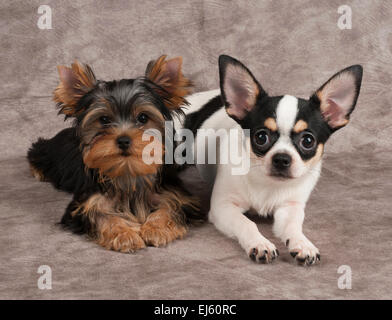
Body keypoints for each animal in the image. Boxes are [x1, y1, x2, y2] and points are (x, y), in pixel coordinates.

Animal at [27, 56, 199, 254]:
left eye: (143, 117)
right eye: (104, 119)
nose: (123, 140)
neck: (127, 171)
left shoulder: (176, 195)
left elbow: (171, 207)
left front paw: (156, 228)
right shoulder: (84, 205)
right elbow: (101, 215)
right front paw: (124, 235)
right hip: (47, 153)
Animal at [179, 55, 362, 264]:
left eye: (308, 141)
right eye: (261, 137)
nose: (282, 158)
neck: (268, 184)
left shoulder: (290, 208)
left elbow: (293, 227)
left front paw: (303, 243)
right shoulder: (223, 207)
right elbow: (247, 223)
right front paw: (260, 244)